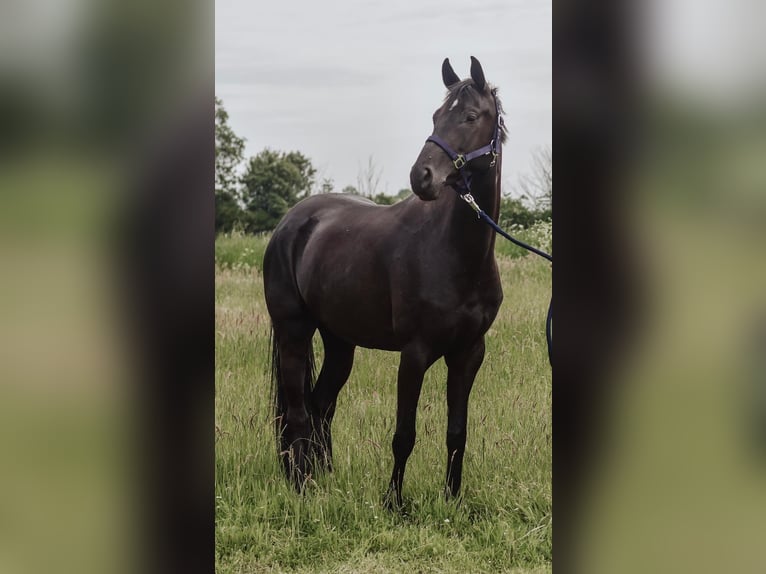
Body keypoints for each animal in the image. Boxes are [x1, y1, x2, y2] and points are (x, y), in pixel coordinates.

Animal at [264, 57, 510, 508]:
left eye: (470, 116)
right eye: (435, 116)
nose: (422, 177)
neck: (456, 253)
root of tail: (292, 222)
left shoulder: (468, 353)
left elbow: (457, 433)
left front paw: (452, 500)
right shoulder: (414, 353)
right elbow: (404, 435)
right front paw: (394, 502)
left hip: (340, 342)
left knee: (321, 405)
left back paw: (325, 478)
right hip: (293, 332)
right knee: (297, 412)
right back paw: (303, 485)